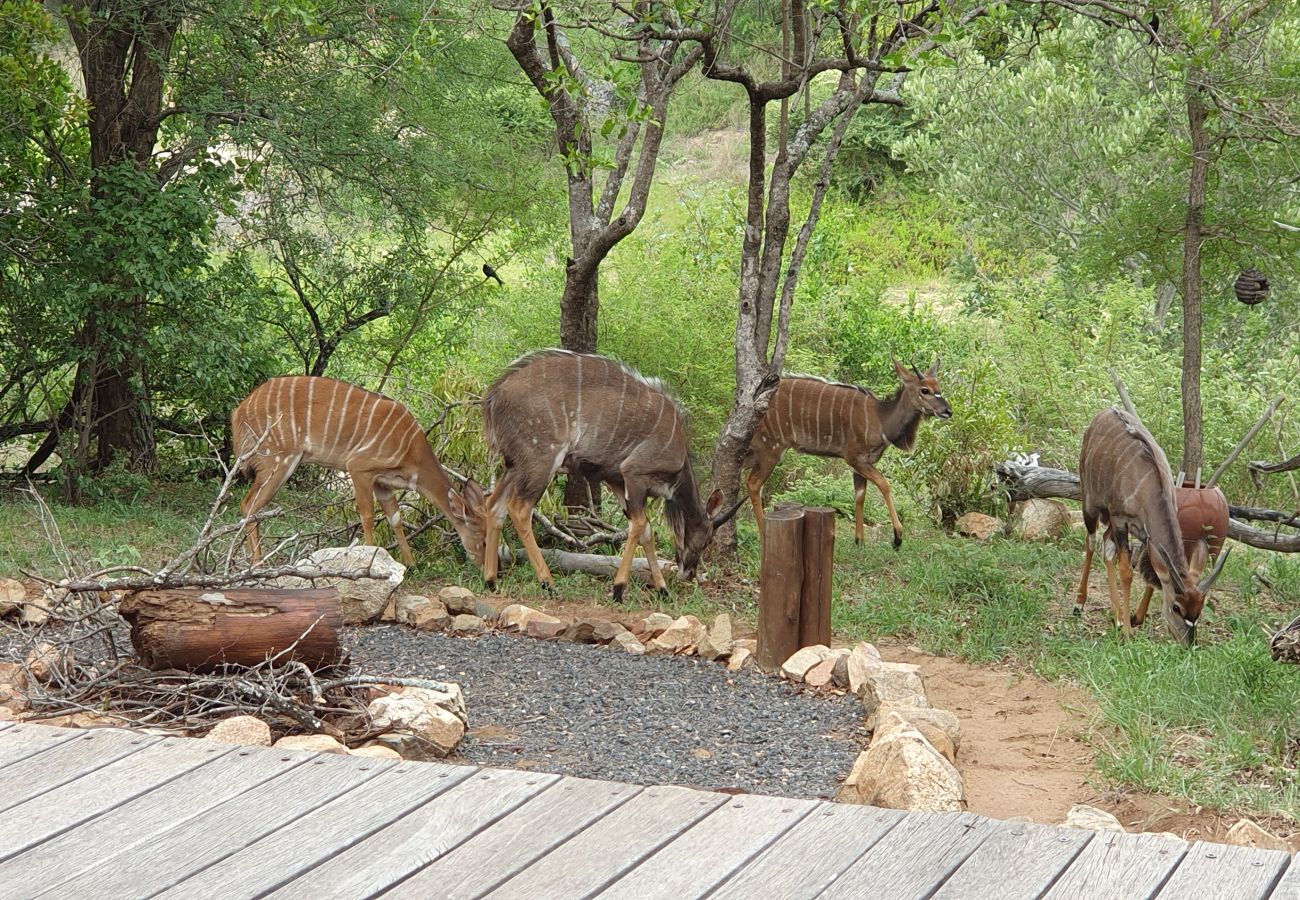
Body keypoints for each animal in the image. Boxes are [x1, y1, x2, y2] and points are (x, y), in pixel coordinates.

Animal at [230, 377, 488, 567]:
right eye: (483, 540)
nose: (488, 570)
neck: (411, 450)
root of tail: (239, 411)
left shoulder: (383, 483)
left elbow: (395, 518)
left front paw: (411, 564)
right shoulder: (359, 468)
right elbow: (367, 514)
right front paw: (371, 560)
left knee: (249, 506)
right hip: (277, 460)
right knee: (249, 505)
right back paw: (257, 565)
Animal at [480, 348, 743, 598]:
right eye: (708, 539)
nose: (689, 573)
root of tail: (493, 398)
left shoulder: (617, 481)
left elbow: (645, 531)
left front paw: (662, 589)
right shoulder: (634, 473)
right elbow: (640, 525)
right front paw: (619, 589)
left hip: (514, 465)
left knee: (494, 505)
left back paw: (491, 581)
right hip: (542, 460)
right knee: (519, 508)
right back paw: (548, 583)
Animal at [743, 358, 956, 548]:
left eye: (939, 387)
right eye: (925, 390)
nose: (948, 411)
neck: (881, 419)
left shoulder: (862, 465)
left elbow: (860, 496)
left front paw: (859, 541)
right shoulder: (855, 459)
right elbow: (884, 485)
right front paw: (897, 537)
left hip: (756, 451)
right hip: (771, 449)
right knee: (754, 483)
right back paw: (763, 534)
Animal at [1066, 408, 1227, 647]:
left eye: (1198, 609)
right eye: (1176, 607)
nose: (1188, 644)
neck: (1149, 490)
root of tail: (1103, 413)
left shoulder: (1145, 534)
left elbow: (1155, 573)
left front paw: (1133, 618)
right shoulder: (1120, 520)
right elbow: (1127, 572)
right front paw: (1128, 631)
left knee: (1106, 546)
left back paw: (1116, 617)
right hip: (1090, 505)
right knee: (1092, 542)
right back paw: (1080, 604)